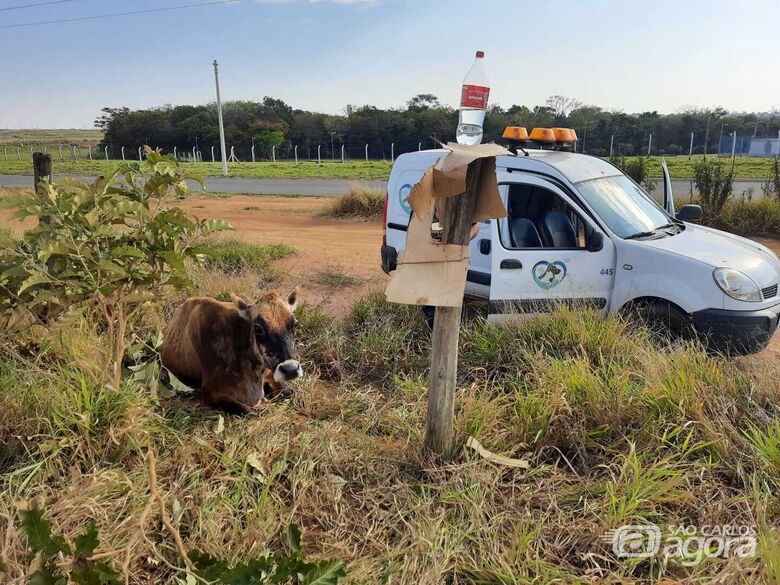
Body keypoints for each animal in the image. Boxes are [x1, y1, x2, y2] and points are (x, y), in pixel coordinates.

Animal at [160, 288, 302, 414]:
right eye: (257, 328)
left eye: (294, 324)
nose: (290, 369)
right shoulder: (211, 392)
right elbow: (248, 412)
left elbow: (289, 393)